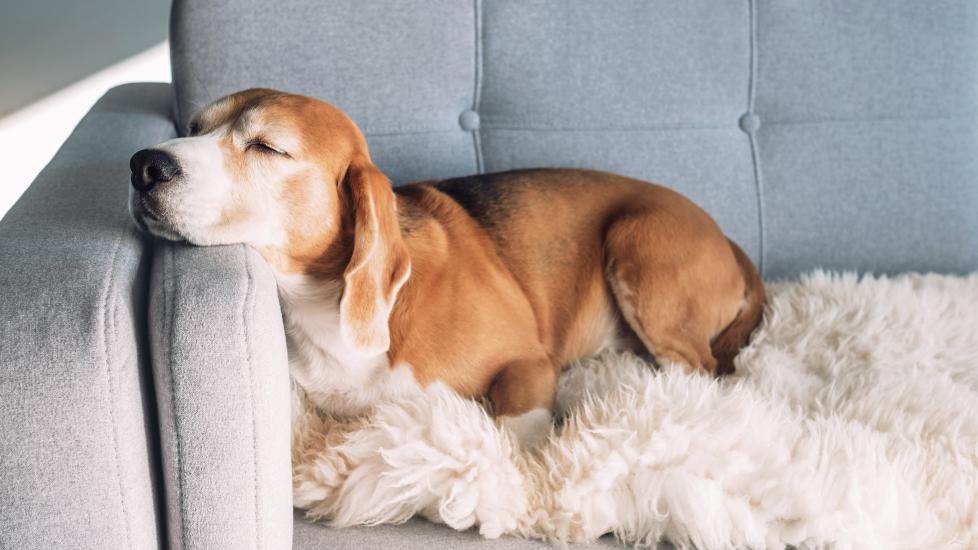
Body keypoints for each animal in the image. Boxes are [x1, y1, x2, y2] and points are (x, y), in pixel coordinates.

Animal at [130, 87, 768, 448]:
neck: (321, 304)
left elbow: (515, 427)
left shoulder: (528, 363)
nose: (142, 164)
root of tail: (727, 237)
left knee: (701, 370)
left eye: (267, 147)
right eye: (192, 128)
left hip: (637, 242)